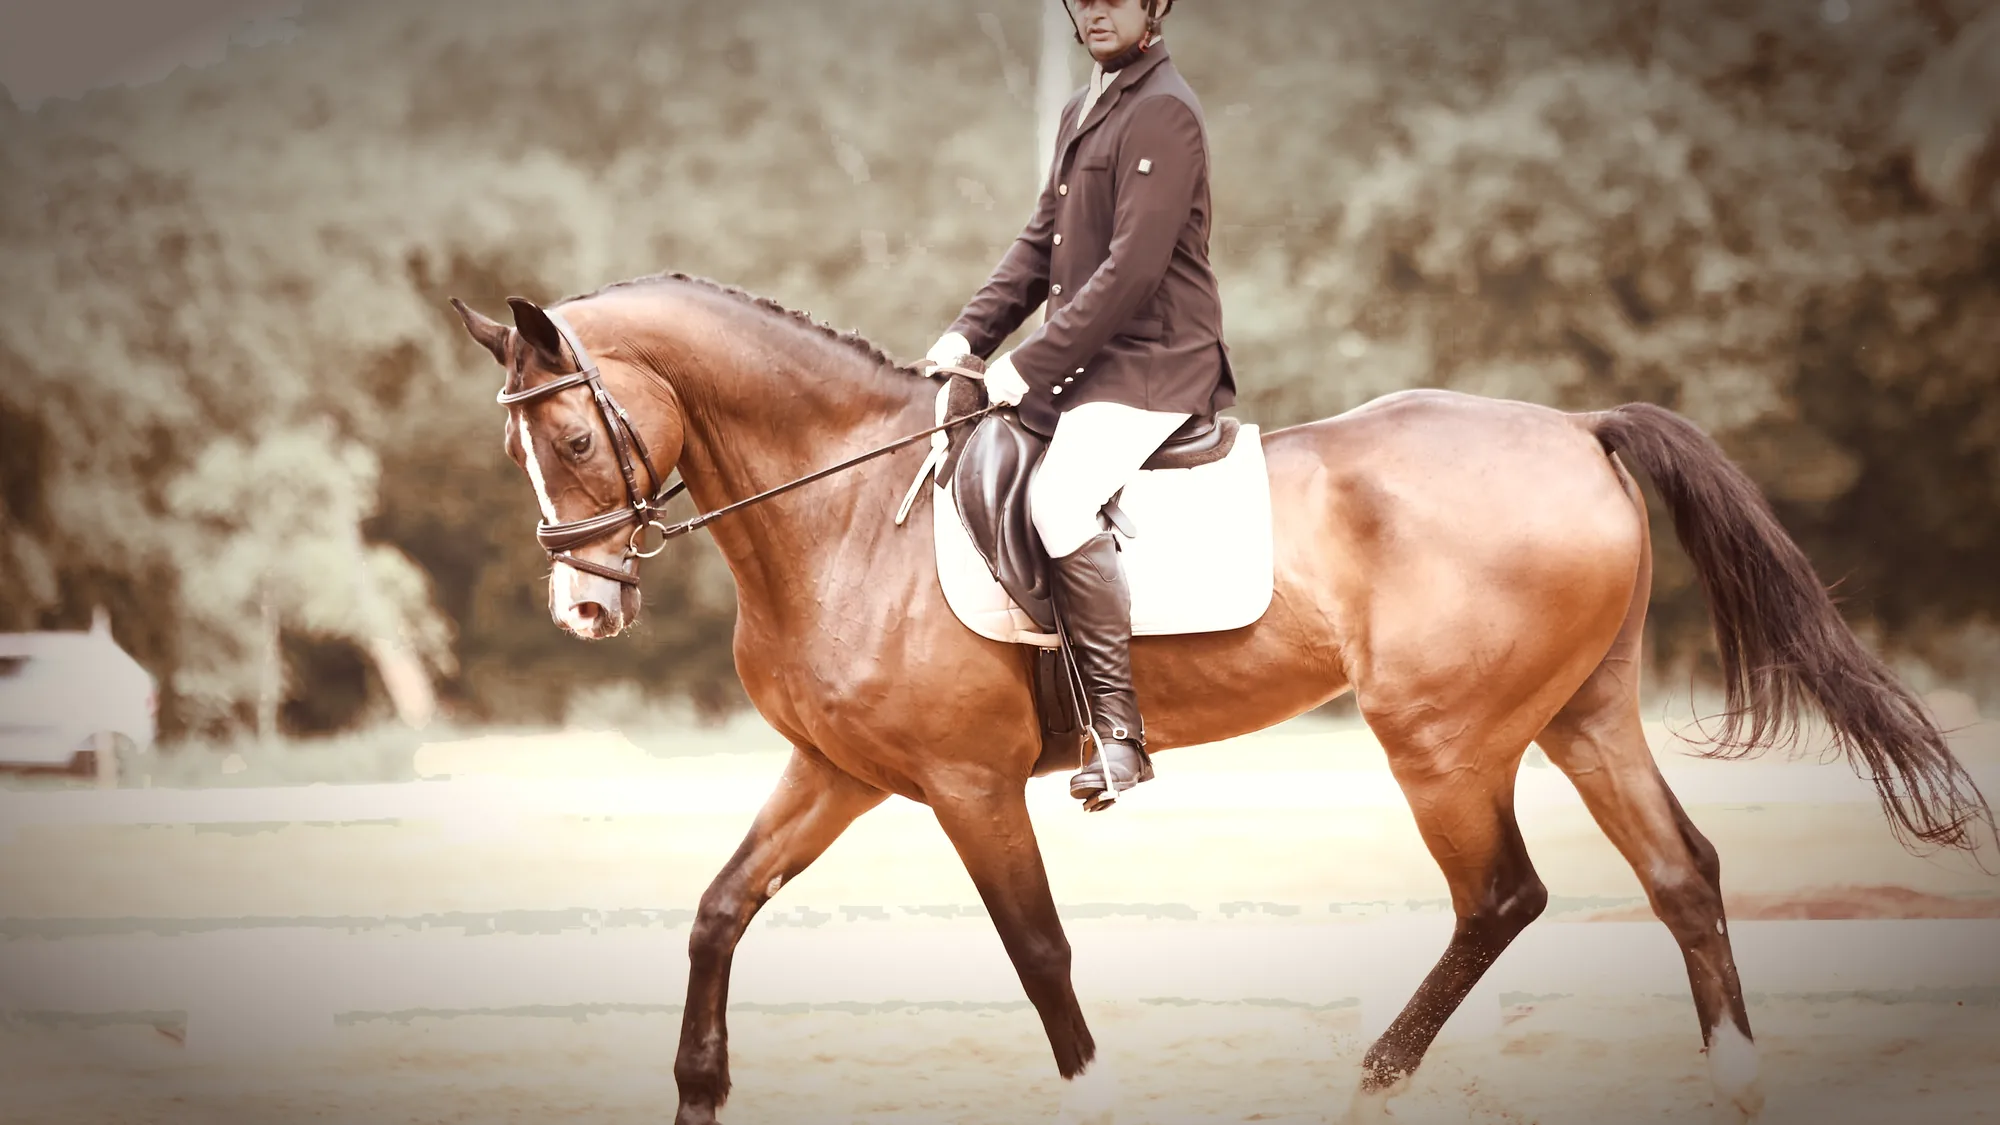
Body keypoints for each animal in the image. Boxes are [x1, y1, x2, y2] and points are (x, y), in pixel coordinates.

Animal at [448, 272, 1992, 1124]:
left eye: (572, 436)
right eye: (523, 449)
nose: (584, 608)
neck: (844, 513)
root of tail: (1575, 428)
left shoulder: (963, 786)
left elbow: (1039, 953)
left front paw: (1099, 1097)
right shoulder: (840, 772)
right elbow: (718, 908)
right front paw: (697, 1092)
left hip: (1443, 739)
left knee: (1503, 897)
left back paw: (1366, 1083)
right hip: (1579, 715)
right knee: (1680, 874)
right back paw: (1733, 1083)